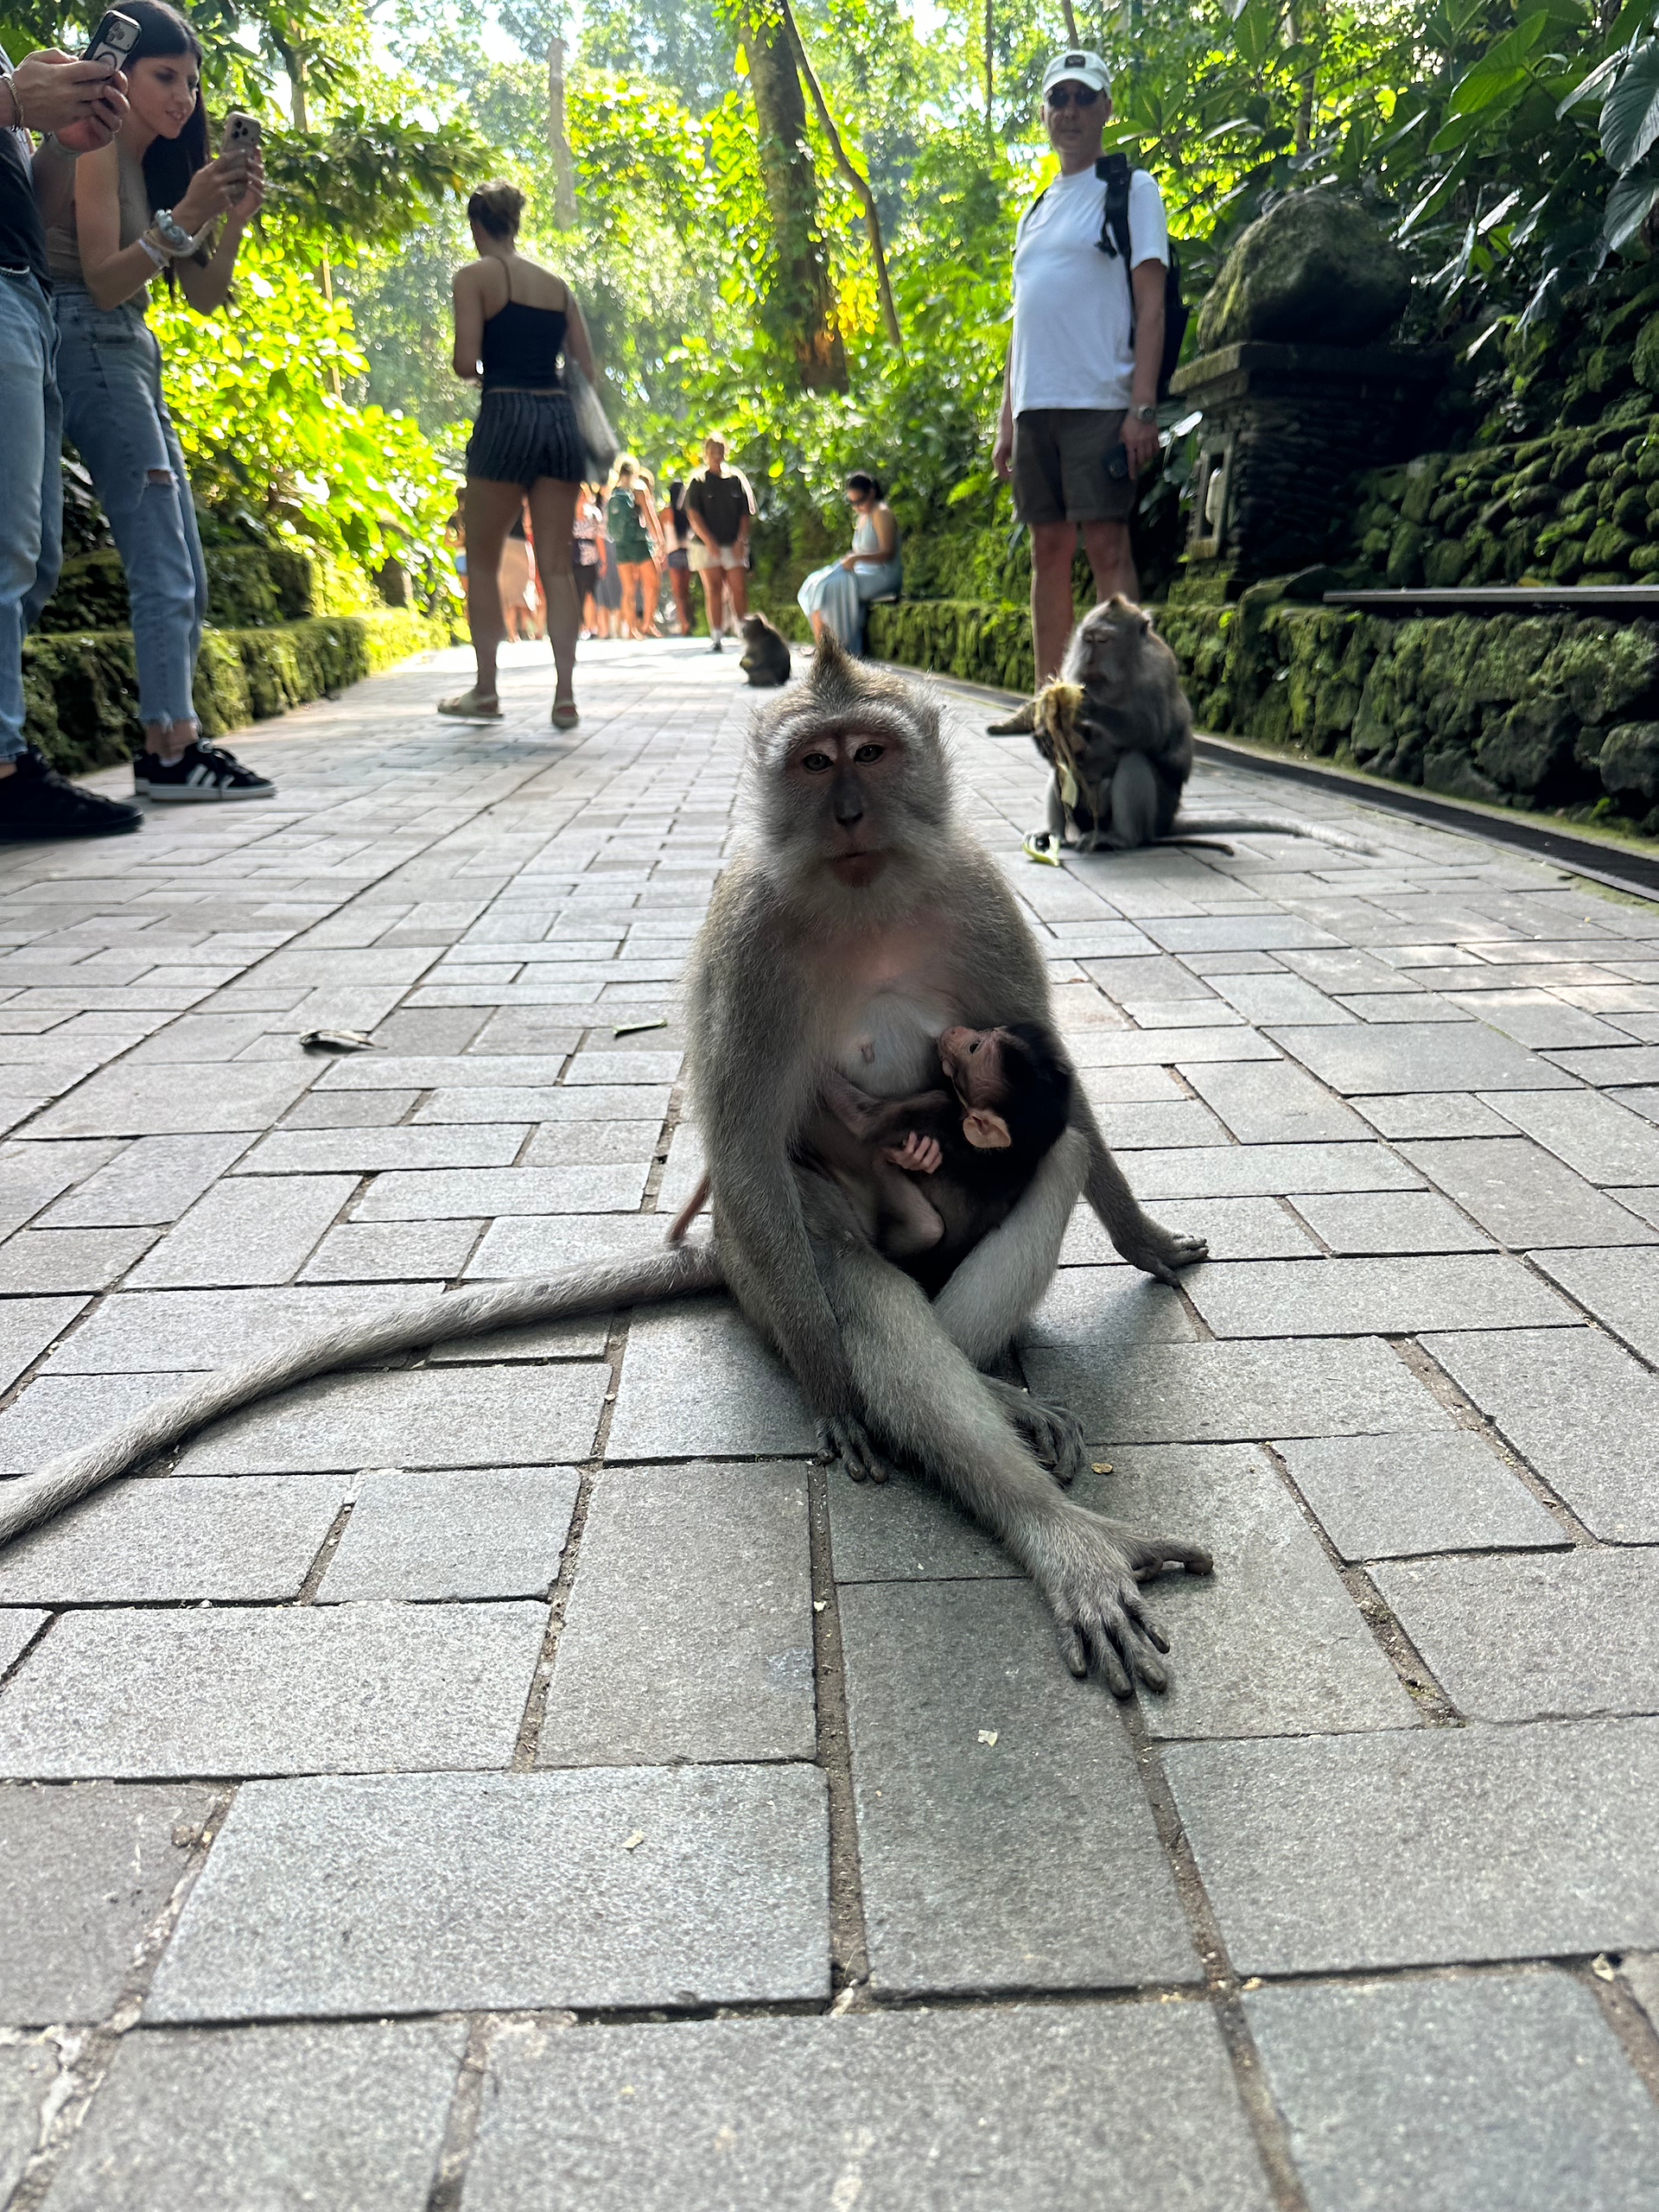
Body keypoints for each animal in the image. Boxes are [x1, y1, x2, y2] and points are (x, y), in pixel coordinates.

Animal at [0, 636, 1212, 1699]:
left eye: (871, 753)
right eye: (815, 765)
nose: (850, 814)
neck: (865, 894)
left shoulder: (978, 897)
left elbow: (1061, 1088)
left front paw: (1147, 1239)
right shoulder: (748, 937)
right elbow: (742, 1137)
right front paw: (839, 1396)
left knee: (1051, 1162)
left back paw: (1008, 1401)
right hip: (770, 1267)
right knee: (862, 1299)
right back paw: (1051, 1523)